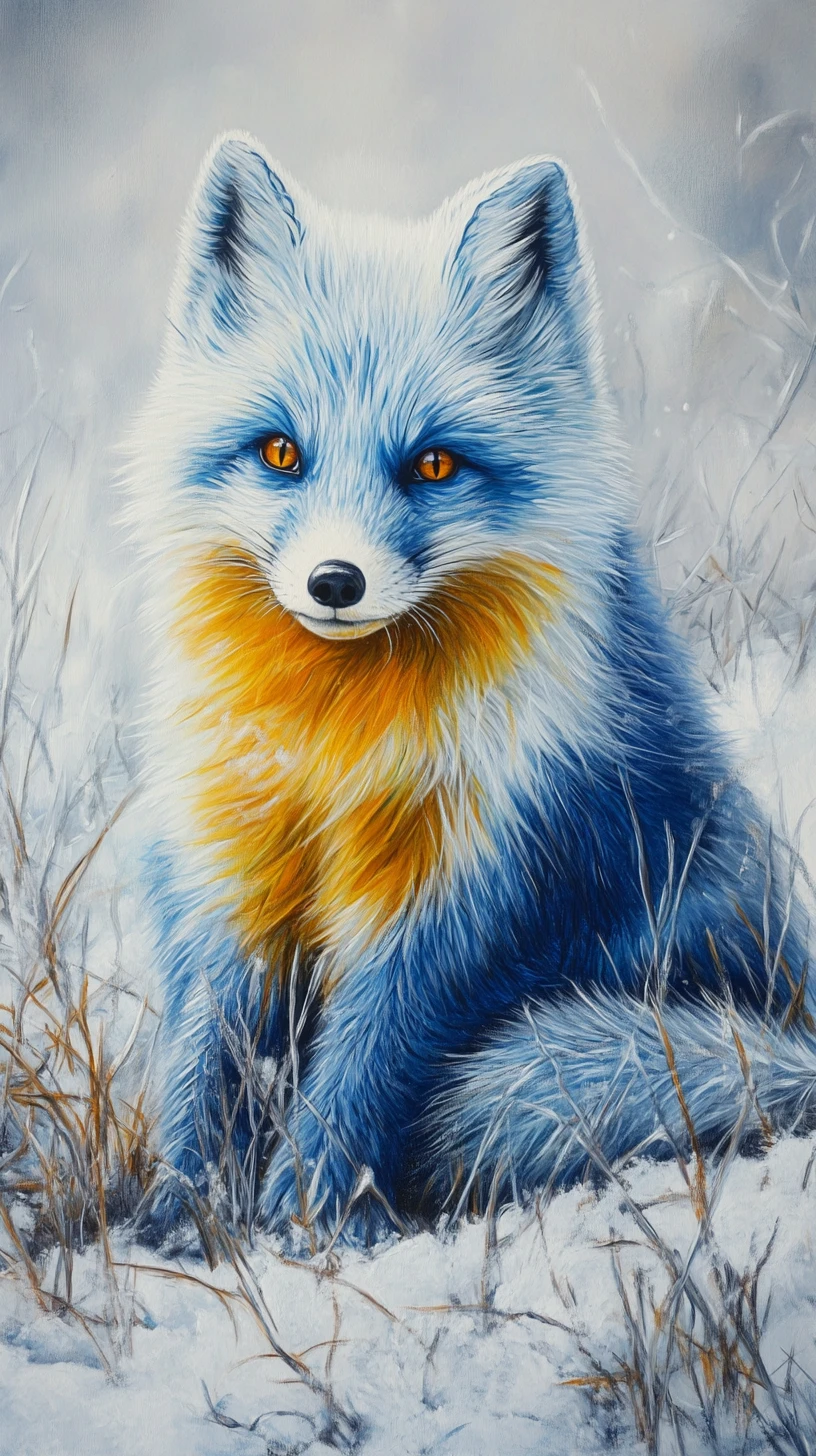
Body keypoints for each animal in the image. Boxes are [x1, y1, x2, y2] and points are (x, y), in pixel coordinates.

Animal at [131, 132, 816, 1242]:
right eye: (281, 452)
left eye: (434, 466)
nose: (335, 583)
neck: (336, 745)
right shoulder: (233, 870)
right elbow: (208, 1058)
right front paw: (179, 1221)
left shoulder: (469, 884)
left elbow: (365, 1061)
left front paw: (312, 1216)